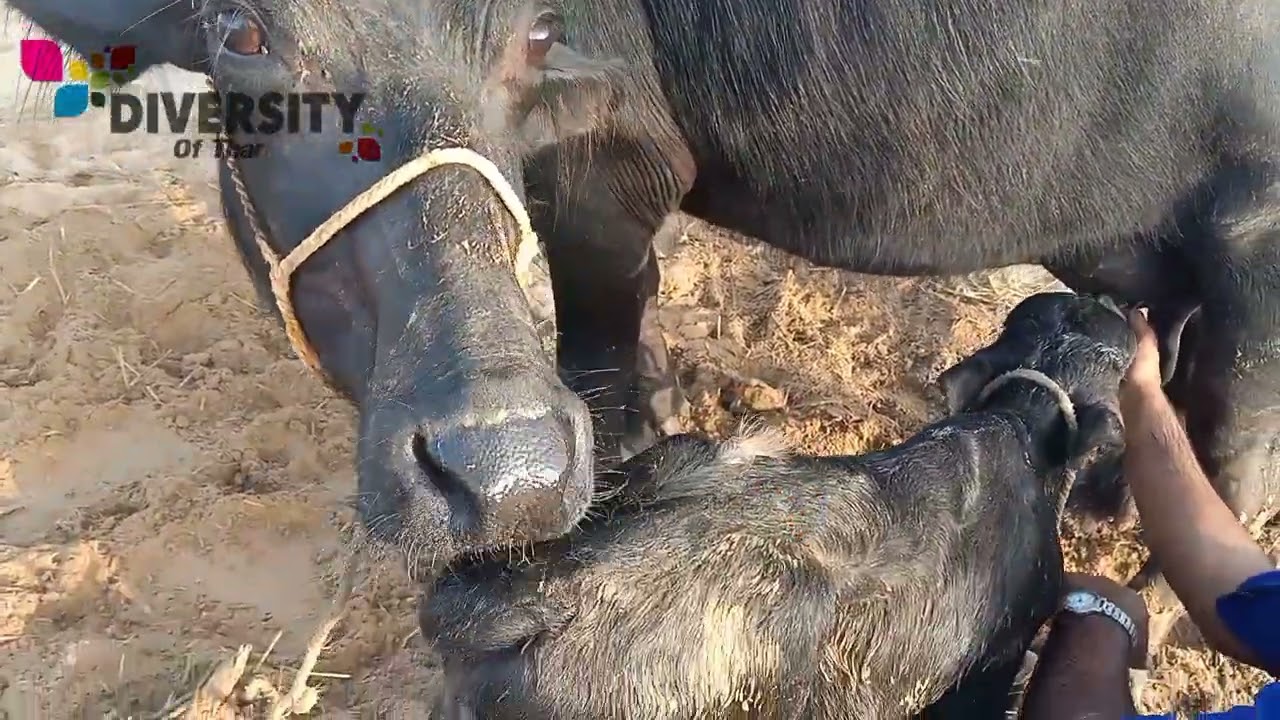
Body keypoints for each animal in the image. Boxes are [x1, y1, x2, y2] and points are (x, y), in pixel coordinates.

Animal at [9, 0, 1278, 581]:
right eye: (243, 30)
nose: (500, 469)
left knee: (1231, 417)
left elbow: (600, 325)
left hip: (1253, 231)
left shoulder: (610, 177)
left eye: (528, 35)